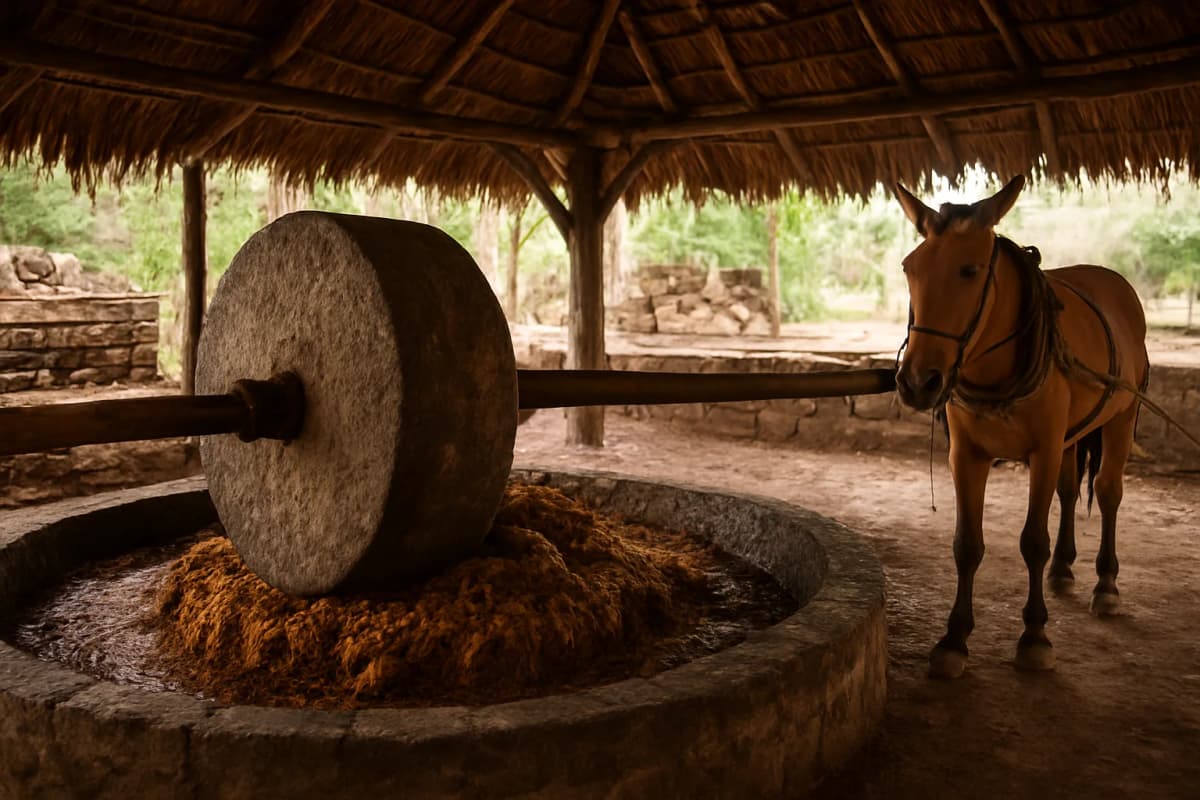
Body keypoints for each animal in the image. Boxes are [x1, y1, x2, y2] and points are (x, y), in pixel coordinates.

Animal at [893, 175, 1150, 679]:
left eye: (969, 270)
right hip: (1072, 436)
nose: (917, 381)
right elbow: (967, 544)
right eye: (910, 268)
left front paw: (1034, 635)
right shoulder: (966, 455)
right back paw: (1064, 569)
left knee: (1108, 491)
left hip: (1121, 417)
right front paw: (954, 639)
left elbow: (1033, 541)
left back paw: (1106, 584)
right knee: (1069, 492)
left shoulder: (1043, 450)